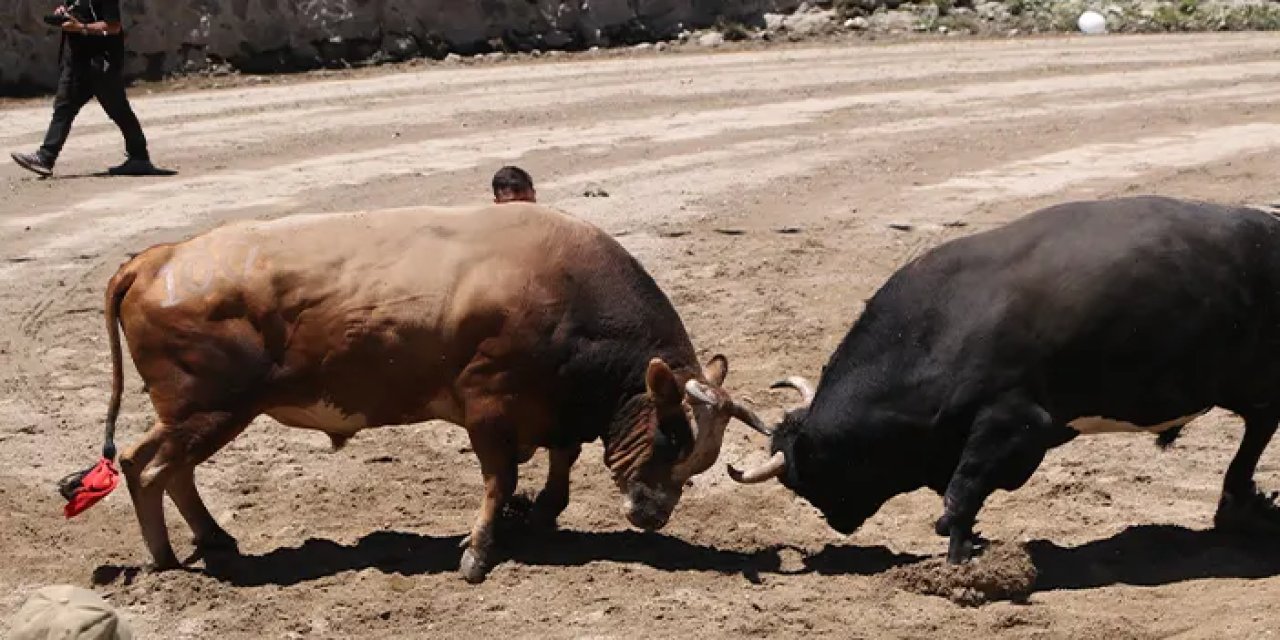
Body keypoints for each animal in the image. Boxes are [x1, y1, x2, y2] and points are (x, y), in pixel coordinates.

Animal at [64, 202, 762, 583]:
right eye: (671, 436)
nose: (652, 514)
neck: (565, 290)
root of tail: (157, 257)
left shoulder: (554, 409)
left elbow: (560, 460)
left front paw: (542, 514)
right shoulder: (488, 406)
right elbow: (500, 480)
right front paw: (478, 550)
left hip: (201, 414)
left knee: (164, 469)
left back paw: (212, 540)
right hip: (208, 410)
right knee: (148, 468)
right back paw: (167, 558)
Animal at [732, 194, 1280, 560]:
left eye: (806, 478)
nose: (836, 522)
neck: (935, 329)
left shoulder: (1017, 423)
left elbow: (960, 495)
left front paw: (961, 563)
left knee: (1260, 427)